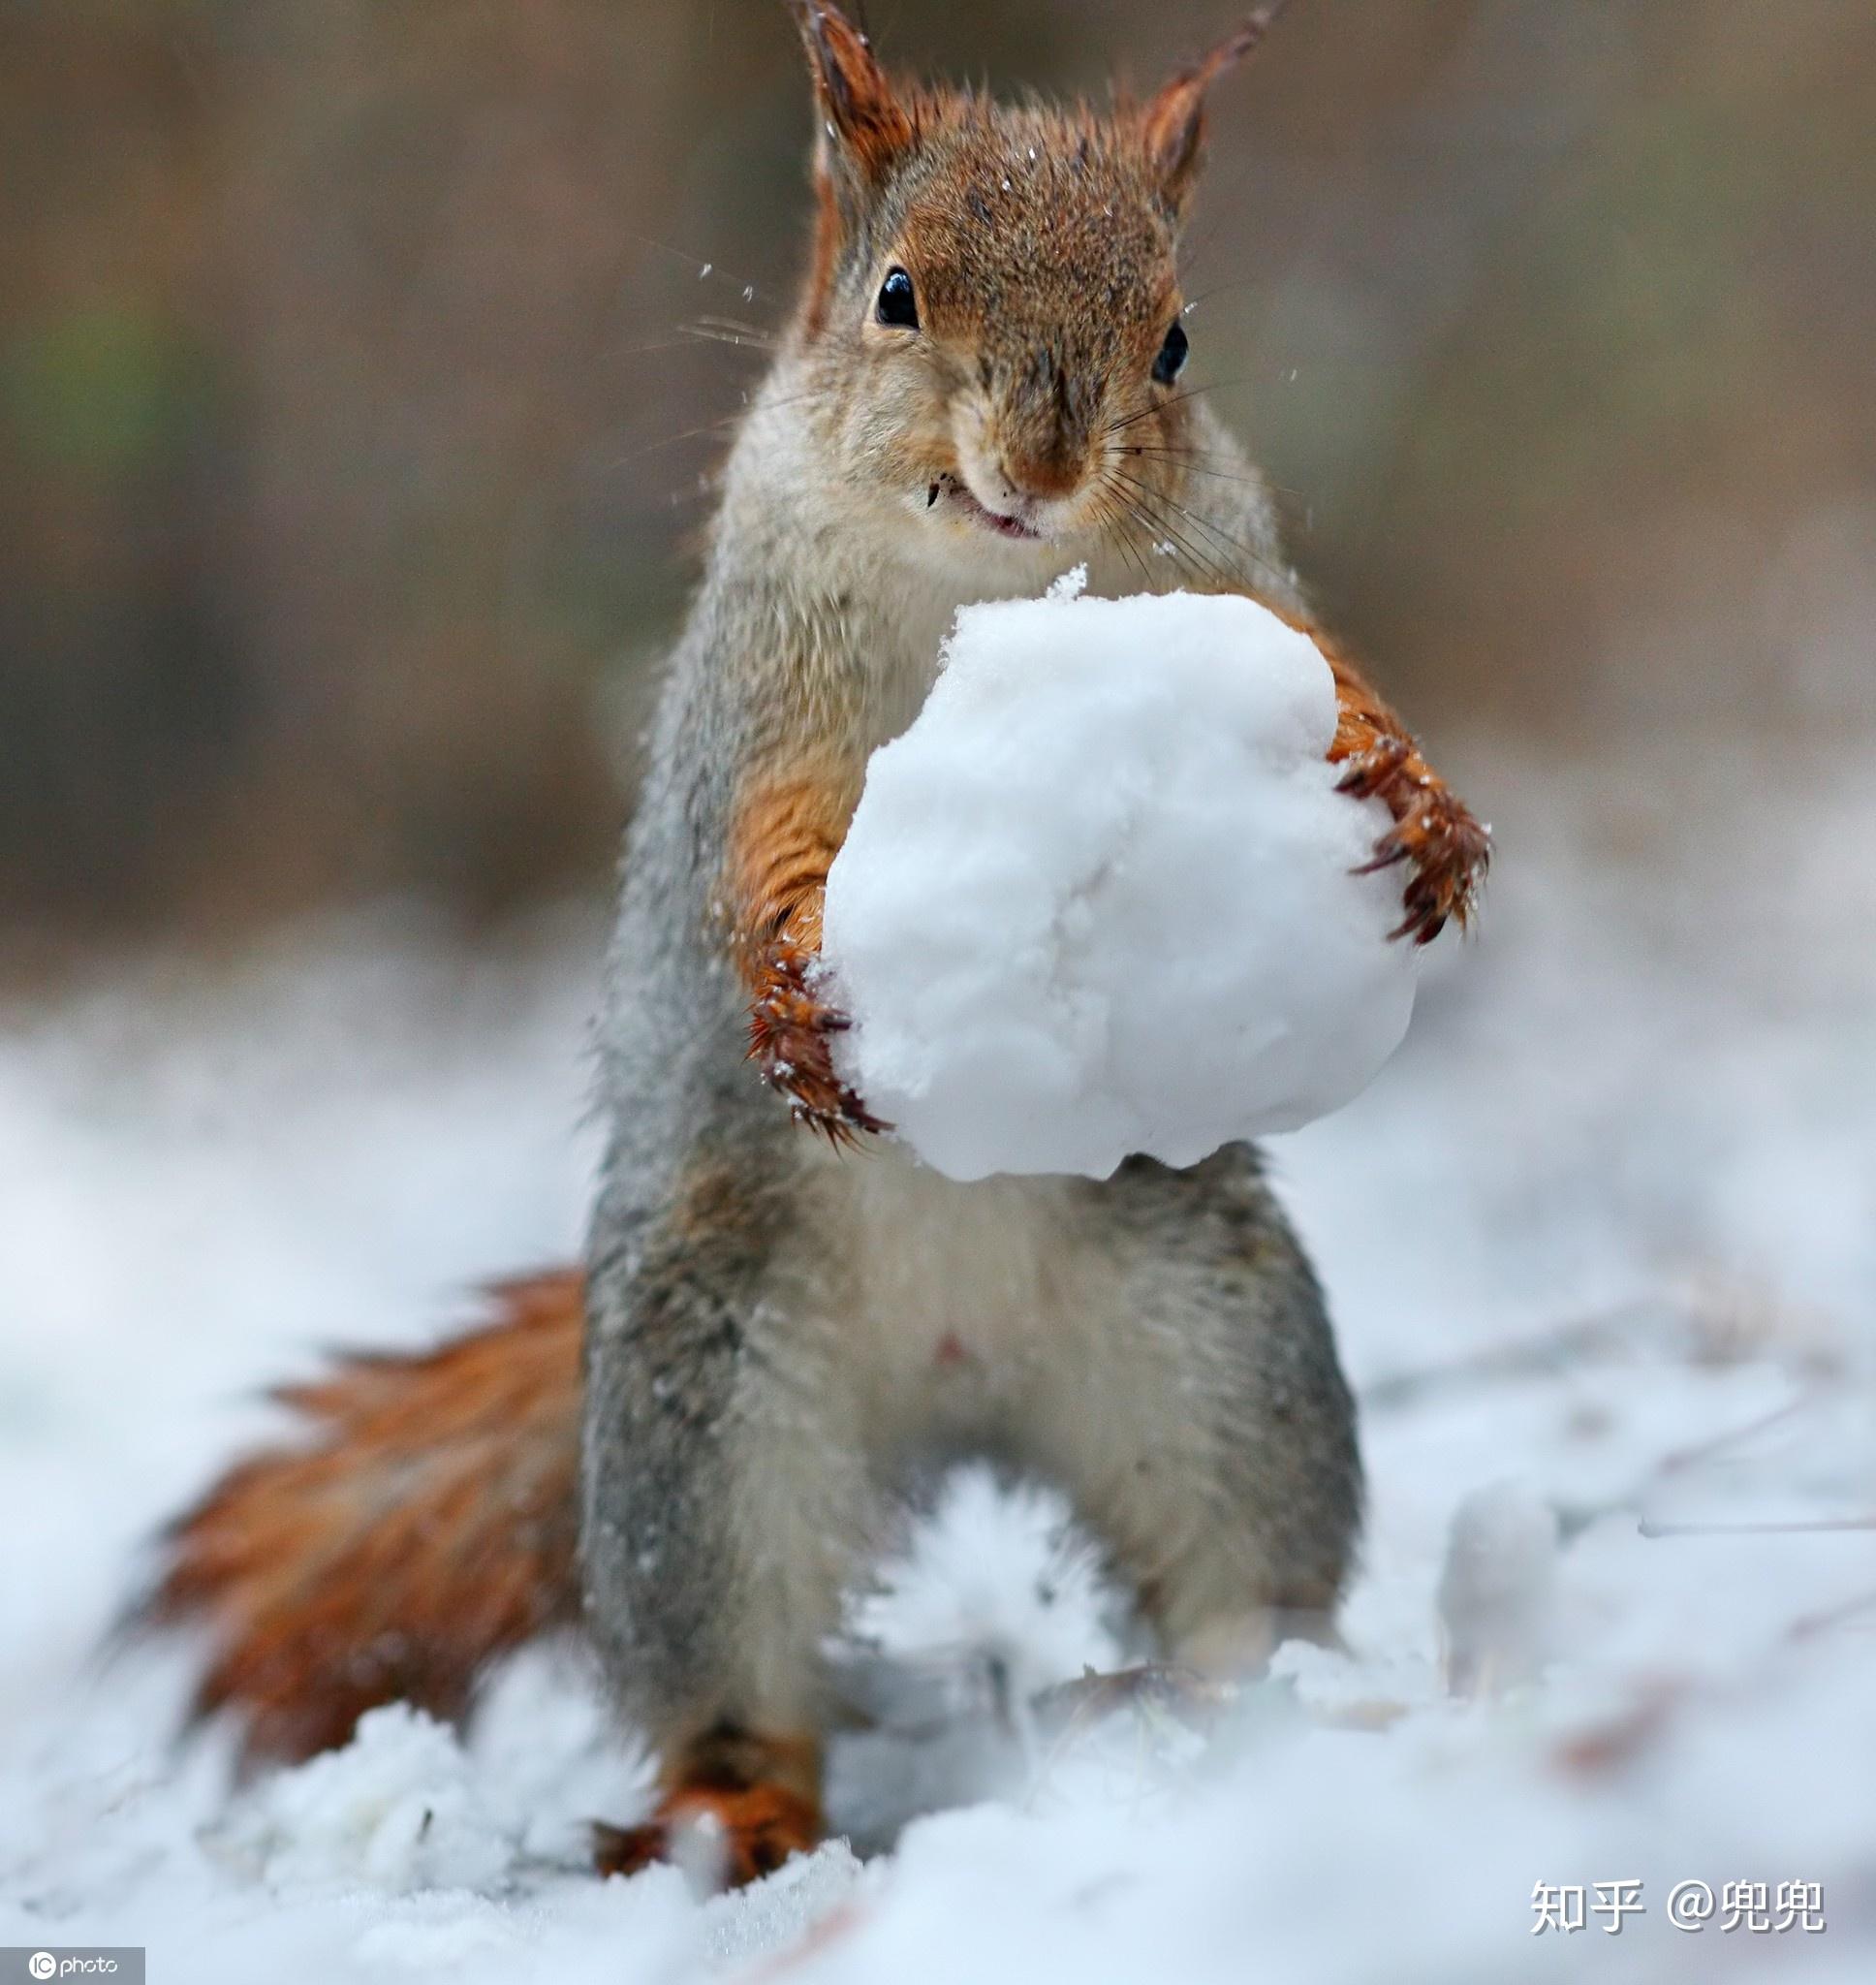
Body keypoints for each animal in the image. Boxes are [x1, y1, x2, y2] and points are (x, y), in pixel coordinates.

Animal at [139, 4, 1485, 1889]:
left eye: (1176, 340)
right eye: (898, 294)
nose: (1041, 469)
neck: (984, 590)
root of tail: (958, 1372)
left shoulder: (1253, 593)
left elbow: (1340, 681)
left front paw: (1425, 809)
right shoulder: (757, 701)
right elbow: (762, 851)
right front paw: (787, 989)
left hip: (1223, 1366)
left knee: (1244, 1570)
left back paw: (1257, 1711)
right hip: (703, 1448)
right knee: (732, 1678)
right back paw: (740, 1810)